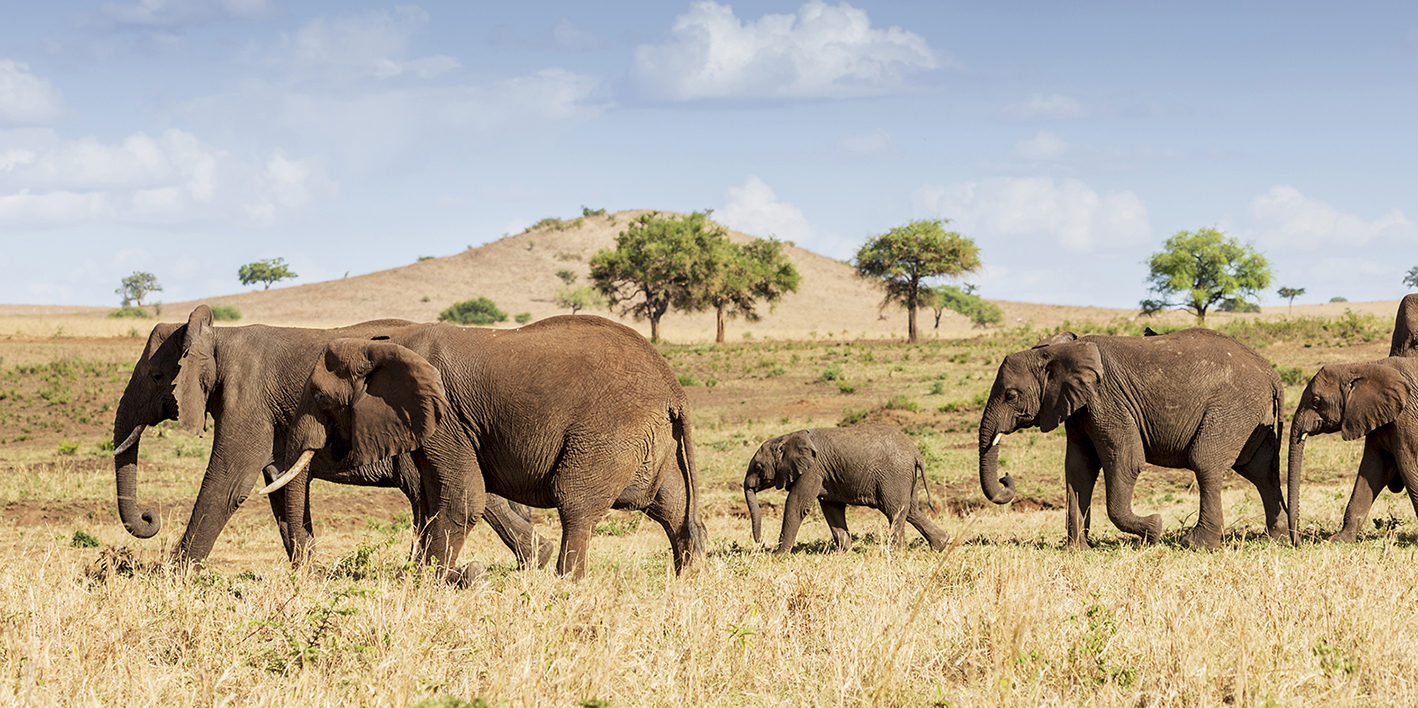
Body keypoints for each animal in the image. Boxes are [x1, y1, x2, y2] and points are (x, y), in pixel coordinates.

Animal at [112, 307, 553, 573]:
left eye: (156, 376)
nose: (149, 518)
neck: (218, 337)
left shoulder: (246, 395)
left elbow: (230, 482)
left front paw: (172, 577)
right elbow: (277, 483)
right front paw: (307, 575)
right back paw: (536, 560)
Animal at [259, 316, 703, 581]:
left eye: (320, 397)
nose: (306, 575)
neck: (386, 345)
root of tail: (674, 388)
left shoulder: (447, 416)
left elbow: (462, 497)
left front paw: (435, 581)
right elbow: (433, 497)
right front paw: (428, 576)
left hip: (608, 432)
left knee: (575, 502)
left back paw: (566, 583)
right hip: (647, 437)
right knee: (669, 503)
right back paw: (689, 576)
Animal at [743, 419, 952, 553]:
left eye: (758, 467)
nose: (762, 545)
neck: (787, 437)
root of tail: (915, 451)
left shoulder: (813, 469)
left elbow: (796, 505)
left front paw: (778, 556)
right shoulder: (826, 474)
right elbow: (832, 509)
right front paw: (842, 554)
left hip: (894, 475)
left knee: (895, 511)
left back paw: (895, 553)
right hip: (906, 476)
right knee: (911, 510)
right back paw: (942, 545)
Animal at [981, 329, 1293, 550]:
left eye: (1011, 395)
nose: (1006, 477)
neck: (1060, 351)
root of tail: (1272, 373)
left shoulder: (1107, 401)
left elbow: (1126, 461)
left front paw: (1153, 529)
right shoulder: (1078, 409)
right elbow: (1078, 469)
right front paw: (1077, 551)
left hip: (1233, 408)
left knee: (1206, 463)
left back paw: (1196, 545)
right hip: (1252, 415)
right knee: (1261, 471)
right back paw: (1275, 540)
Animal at [1287, 360, 1418, 541]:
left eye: (1316, 401)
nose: (1297, 542)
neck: (1364, 367)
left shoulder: (1406, 418)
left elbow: (1409, 466)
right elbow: (1374, 467)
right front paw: (1338, 540)